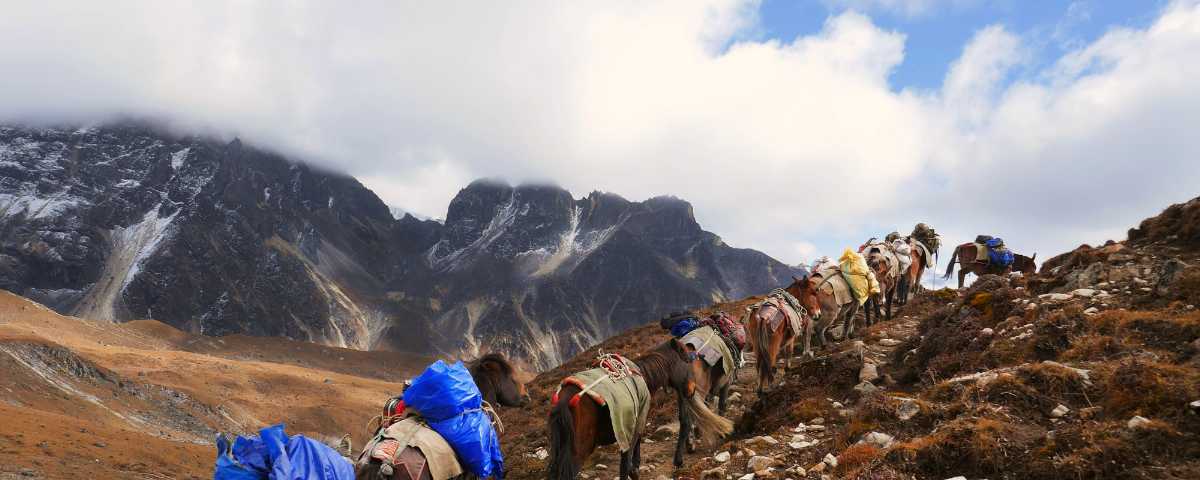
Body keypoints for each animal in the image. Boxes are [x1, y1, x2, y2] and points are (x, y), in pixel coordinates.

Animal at [547, 338, 729, 477]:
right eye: (687, 361)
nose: (692, 389)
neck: (643, 375)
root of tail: (564, 401)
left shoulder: (631, 429)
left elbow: (631, 462)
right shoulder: (633, 428)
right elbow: (628, 464)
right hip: (578, 453)